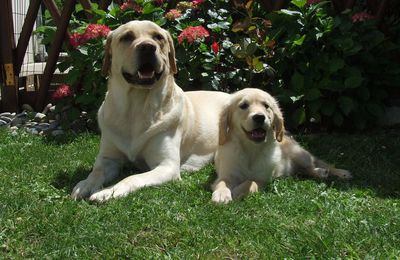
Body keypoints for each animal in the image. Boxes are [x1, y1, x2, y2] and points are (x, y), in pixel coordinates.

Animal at [70, 21, 230, 202]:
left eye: (158, 37)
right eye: (127, 37)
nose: (147, 47)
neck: (136, 107)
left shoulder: (167, 166)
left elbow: (132, 177)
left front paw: (108, 191)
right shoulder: (108, 158)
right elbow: (96, 172)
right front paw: (85, 184)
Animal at [212, 88, 350, 204]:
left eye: (266, 106)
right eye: (243, 106)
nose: (259, 117)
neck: (251, 150)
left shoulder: (264, 180)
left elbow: (250, 182)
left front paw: (237, 192)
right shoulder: (227, 173)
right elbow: (222, 182)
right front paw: (221, 195)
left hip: (300, 154)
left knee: (315, 164)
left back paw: (331, 172)